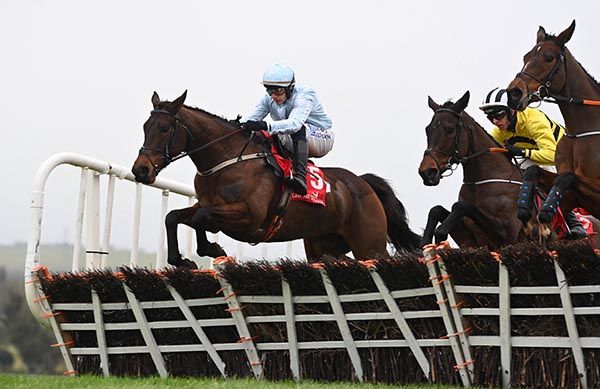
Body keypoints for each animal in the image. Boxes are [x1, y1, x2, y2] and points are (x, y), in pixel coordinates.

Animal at [131, 91, 422, 266]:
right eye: (145, 127)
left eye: (164, 128)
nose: (141, 170)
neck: (226, 161)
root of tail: (363, 183)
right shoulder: (207, 203)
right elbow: (174, 218)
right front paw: (181, 259)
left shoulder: (248, 217)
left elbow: (202, 218)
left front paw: (210, 249)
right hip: (323, 247)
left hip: (369, 245)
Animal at [418, 90, 524, 247]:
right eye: (427, 130)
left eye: (450, 130)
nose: (426, 172)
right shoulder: (469, 238)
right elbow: (436, 210)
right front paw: (425, 242)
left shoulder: (509, 234)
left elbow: (460, 206)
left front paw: (439, 235)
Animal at [508, 21, 600, 226]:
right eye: (526, 56)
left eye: (548, 58)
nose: (514, 93)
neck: (580, 133)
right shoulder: (572, 198)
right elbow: (534, 170)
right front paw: (525, 207)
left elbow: (567, 177)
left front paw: (546, 211)